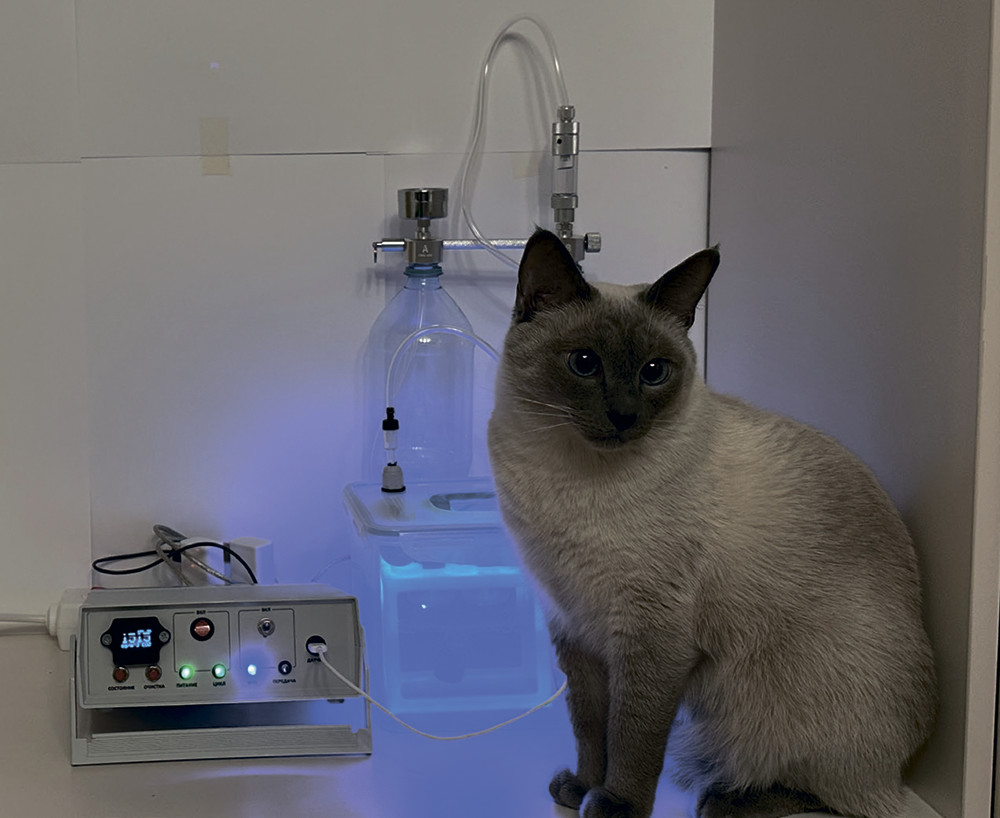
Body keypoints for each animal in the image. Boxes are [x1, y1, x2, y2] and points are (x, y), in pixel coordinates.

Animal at [486, 229, 937, 818]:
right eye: (584, 363)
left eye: (654, 372)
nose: (625, 417)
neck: (568, 480)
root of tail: (902, 770)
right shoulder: (572, 623)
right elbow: (589, 725)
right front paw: (582, 789)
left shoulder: (651, 636)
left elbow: (631, 736)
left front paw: (616, 805)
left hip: (767, 703)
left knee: (834, 795)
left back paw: (724, 799)